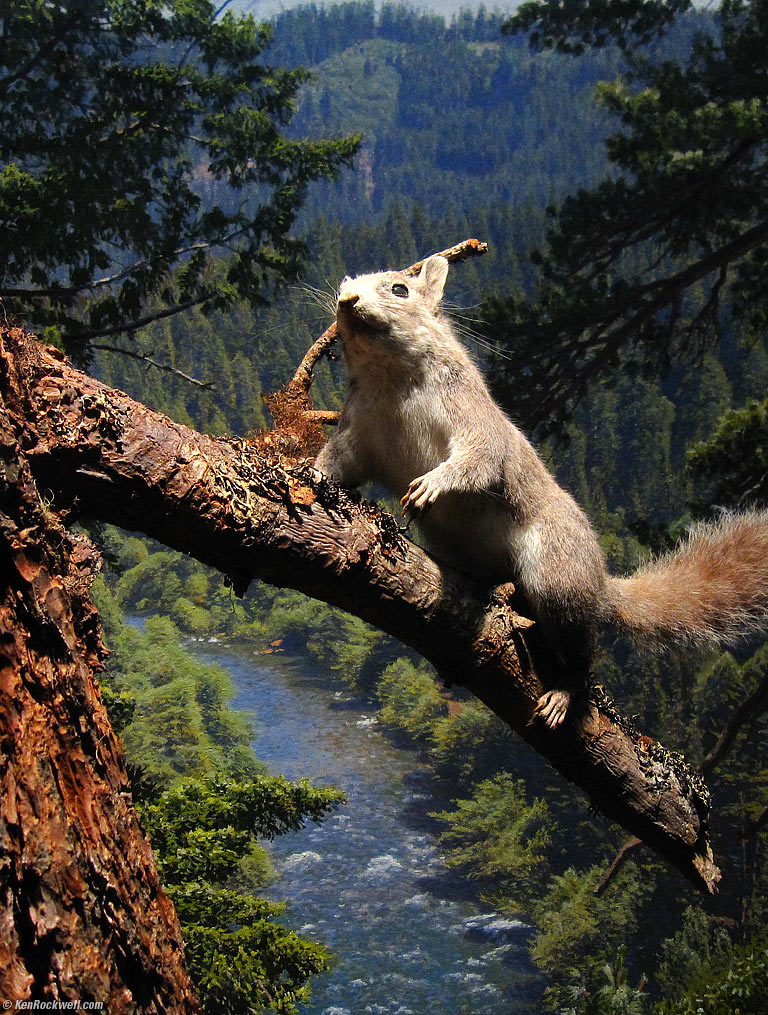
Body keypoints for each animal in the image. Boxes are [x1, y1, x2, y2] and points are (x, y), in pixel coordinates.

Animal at [314, 254, 768, 727]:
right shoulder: (360, 430)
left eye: (400, 289)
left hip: (556, 574)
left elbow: (481, 457)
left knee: (580, 650)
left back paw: (566, 692)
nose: (347, 300)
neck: (393, 380)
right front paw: (309, 474)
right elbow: (340, 462)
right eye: (345, 284)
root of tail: (599, 584)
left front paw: (433, 484)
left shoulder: (472, 413)